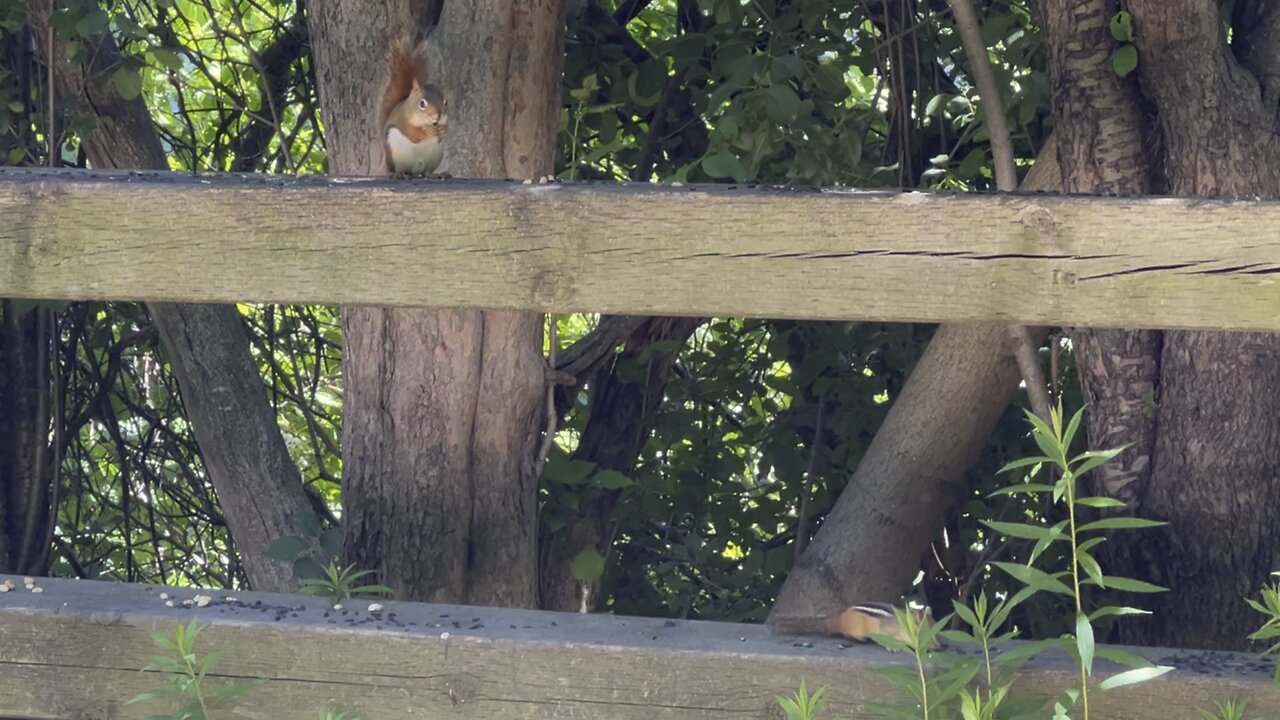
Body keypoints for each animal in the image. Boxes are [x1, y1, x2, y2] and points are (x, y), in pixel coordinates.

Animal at [376, 35, 448, 176]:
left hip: (434, 157)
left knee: (427, 172)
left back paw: (436, 175)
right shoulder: (403, 120)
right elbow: (412, 133)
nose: (436, 116)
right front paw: (426, 131)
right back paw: (399, 174)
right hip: (395, 155)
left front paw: (444, 130)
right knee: (400, 169)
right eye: (422, 103)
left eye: (445, 102)